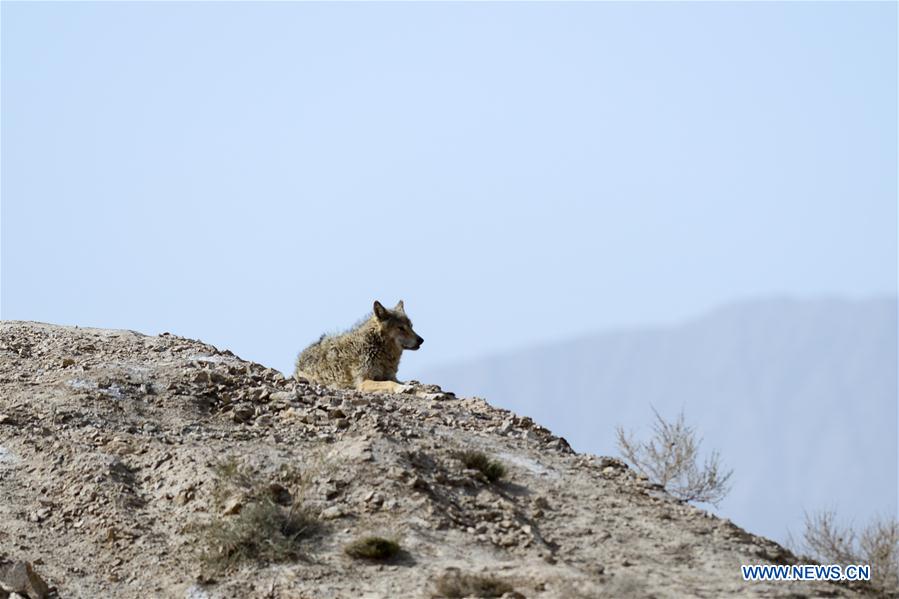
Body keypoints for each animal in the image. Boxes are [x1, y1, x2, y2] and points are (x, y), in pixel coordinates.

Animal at [294, 300, 424, 394]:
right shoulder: (363, 381)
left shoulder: (391, 377)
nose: (421, 340)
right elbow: (389, 383)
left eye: (411, 326)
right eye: (401, 328)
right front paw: (401, 388)